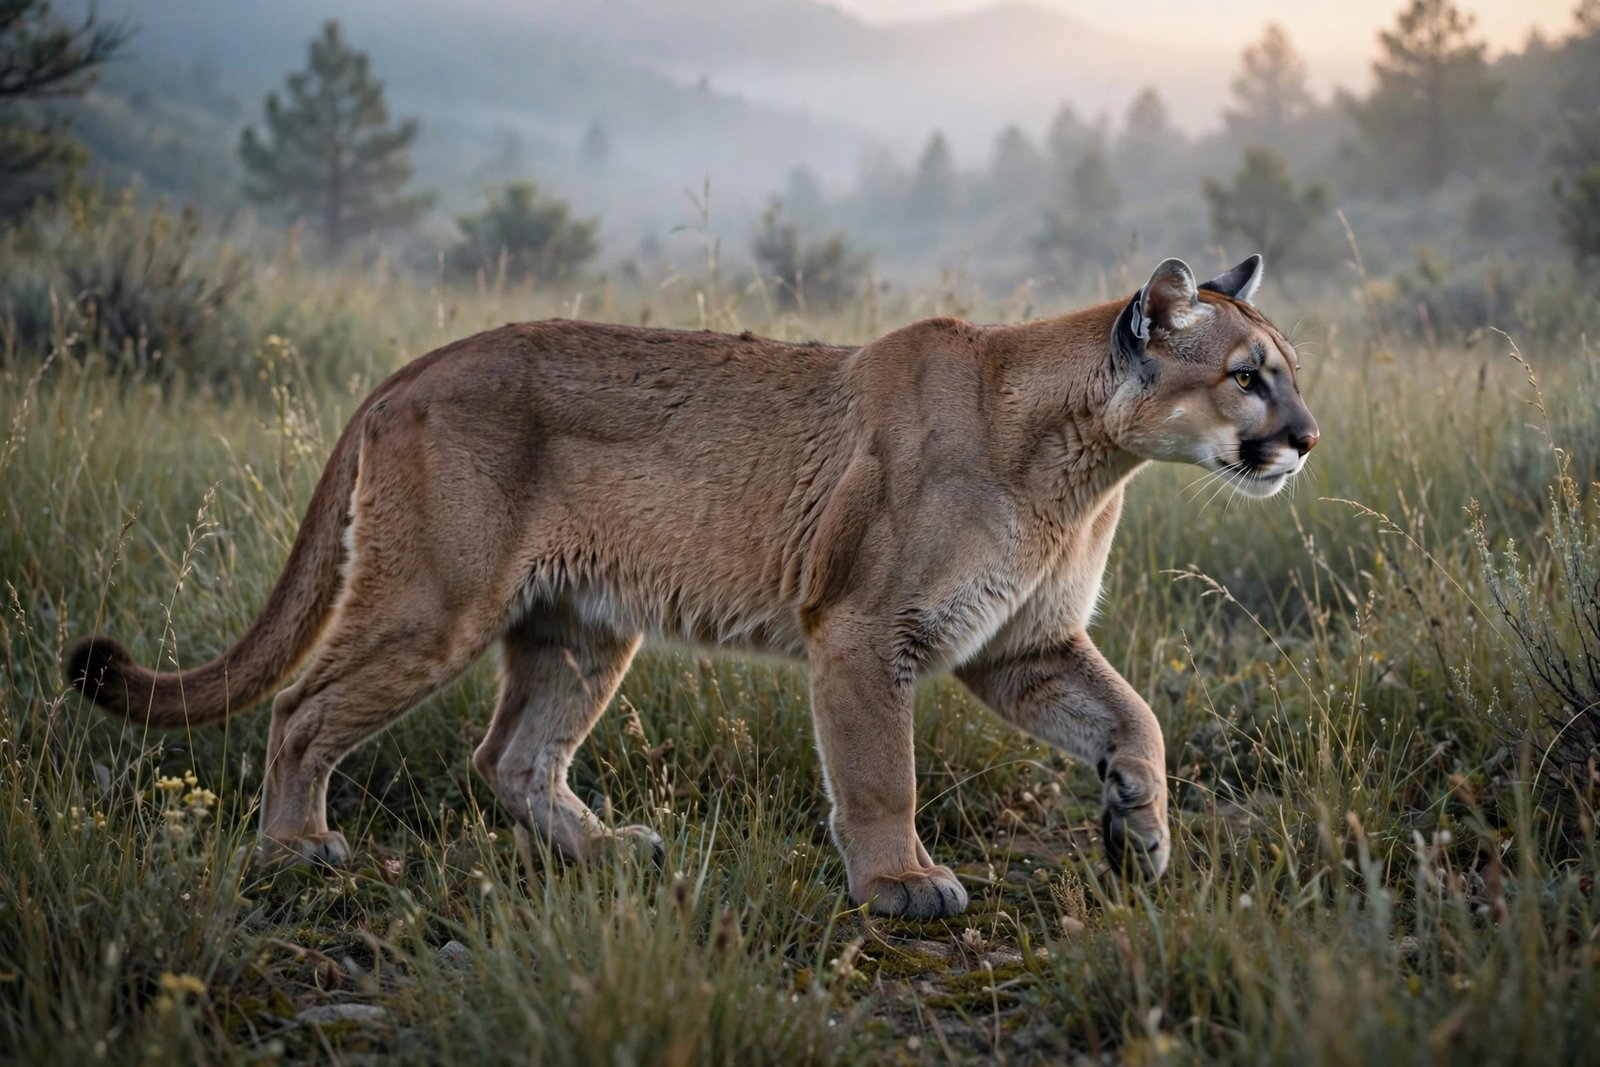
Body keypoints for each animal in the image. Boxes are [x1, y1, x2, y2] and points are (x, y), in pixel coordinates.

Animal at [69, 254, 1317, 918]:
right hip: (434, 601)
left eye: (1290, 373)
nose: (1306, 438)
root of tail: (411, 365)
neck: (1082, 458)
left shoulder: (1023, 644)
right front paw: (899, 881)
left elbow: (1137, 718)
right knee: (300, 706)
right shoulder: (865, 630)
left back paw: (603, 849)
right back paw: (296, 850)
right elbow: (884, 773)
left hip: (580, 625)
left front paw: (1139, 831)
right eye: (1246, 376)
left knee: (508, 753)